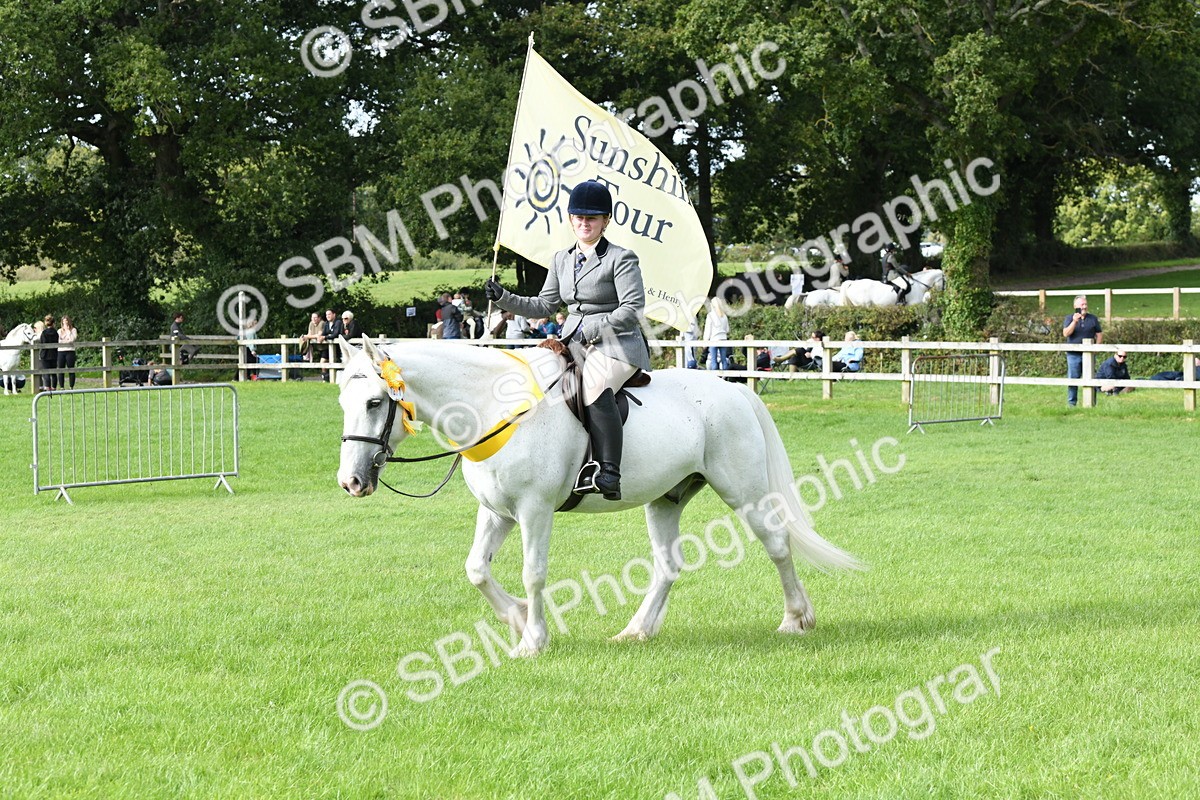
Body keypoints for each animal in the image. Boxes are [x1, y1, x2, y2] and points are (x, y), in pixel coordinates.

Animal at [335, 337, 862, 657]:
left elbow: (533, 573)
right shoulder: (496, 512)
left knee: (777, 545)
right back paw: (637, 630)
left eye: (375, 402)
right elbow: (476, 570)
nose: (351, 482)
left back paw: (795, 619)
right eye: (343, 401)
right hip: (666, 499)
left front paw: (532, 640)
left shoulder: (534, 510)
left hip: (743, 490)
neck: (493, 406)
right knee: (668, 565)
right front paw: (517, 619)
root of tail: (734, 390)